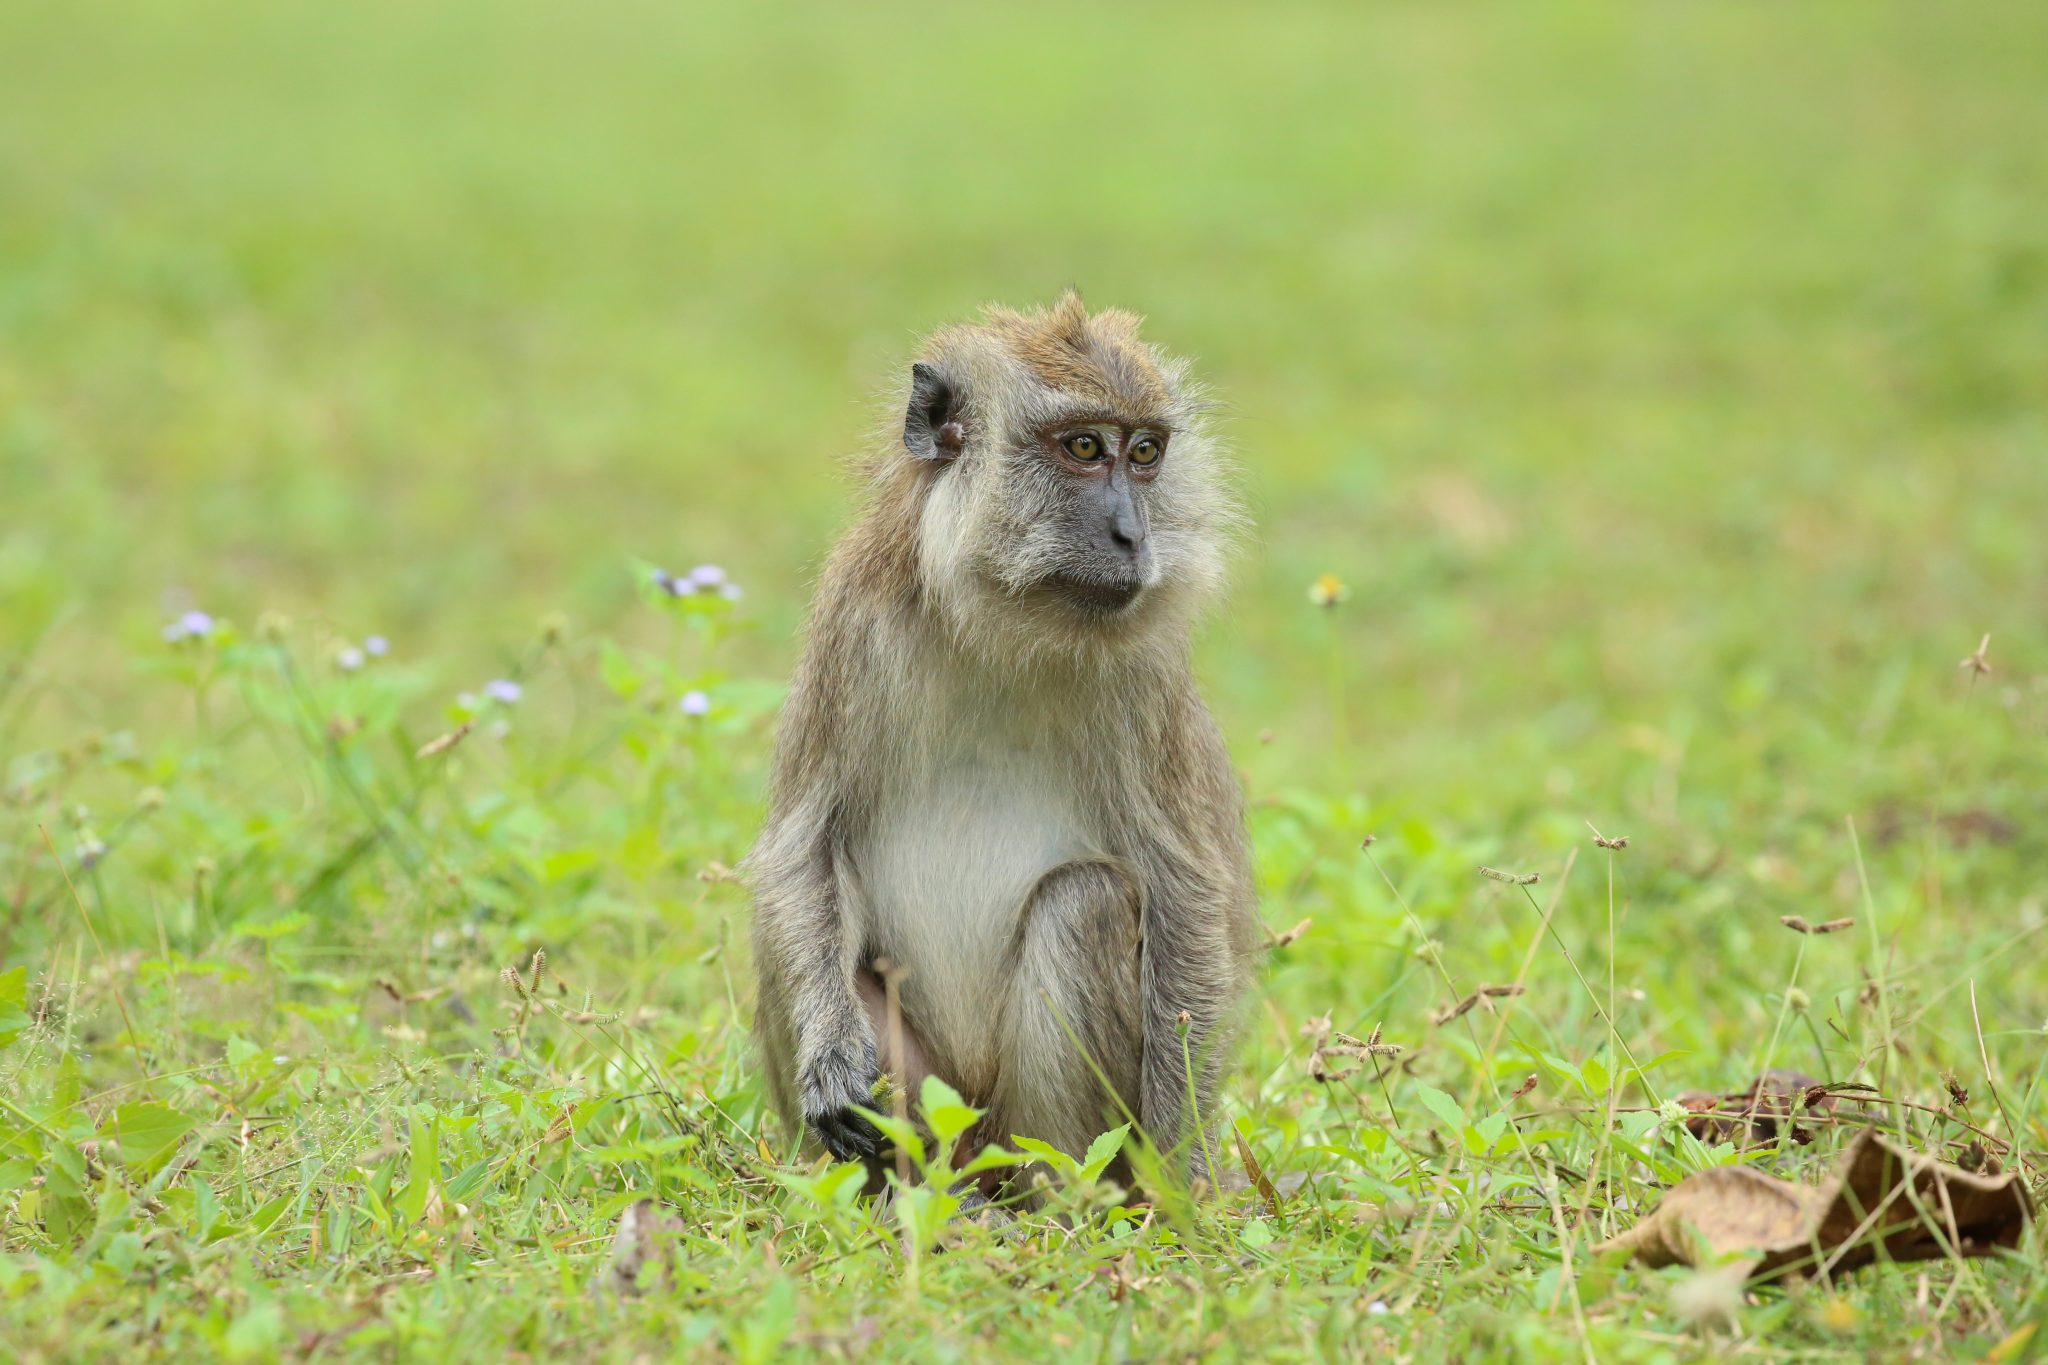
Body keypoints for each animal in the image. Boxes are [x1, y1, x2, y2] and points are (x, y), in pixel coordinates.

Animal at [746, 292, 1256, 1193]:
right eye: (1084, 448)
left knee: (1084, 899)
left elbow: (1185, 889)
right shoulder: (853, 621)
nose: (1133, 535)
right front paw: (830, 1060)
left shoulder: (1145, 675)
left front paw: (1184, 1181)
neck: (1001, 623)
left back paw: (1057, 1194)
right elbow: (801, 847)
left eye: (1145, 454)